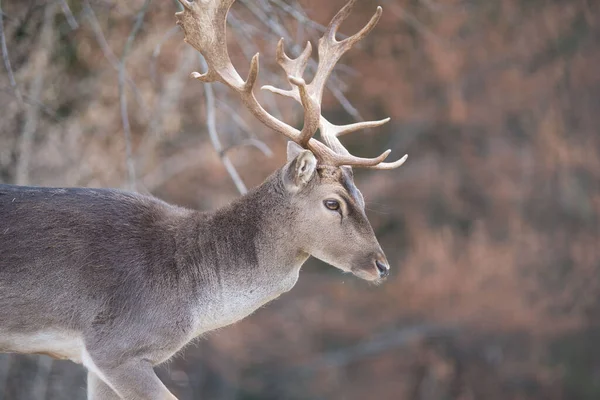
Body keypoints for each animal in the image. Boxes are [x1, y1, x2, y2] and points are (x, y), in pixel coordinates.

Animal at [0, 0, 408, 398]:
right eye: (332, 203)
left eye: (362, 198)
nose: (382, 265)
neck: (190, 293)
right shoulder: (115, 345)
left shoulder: (97, 361)